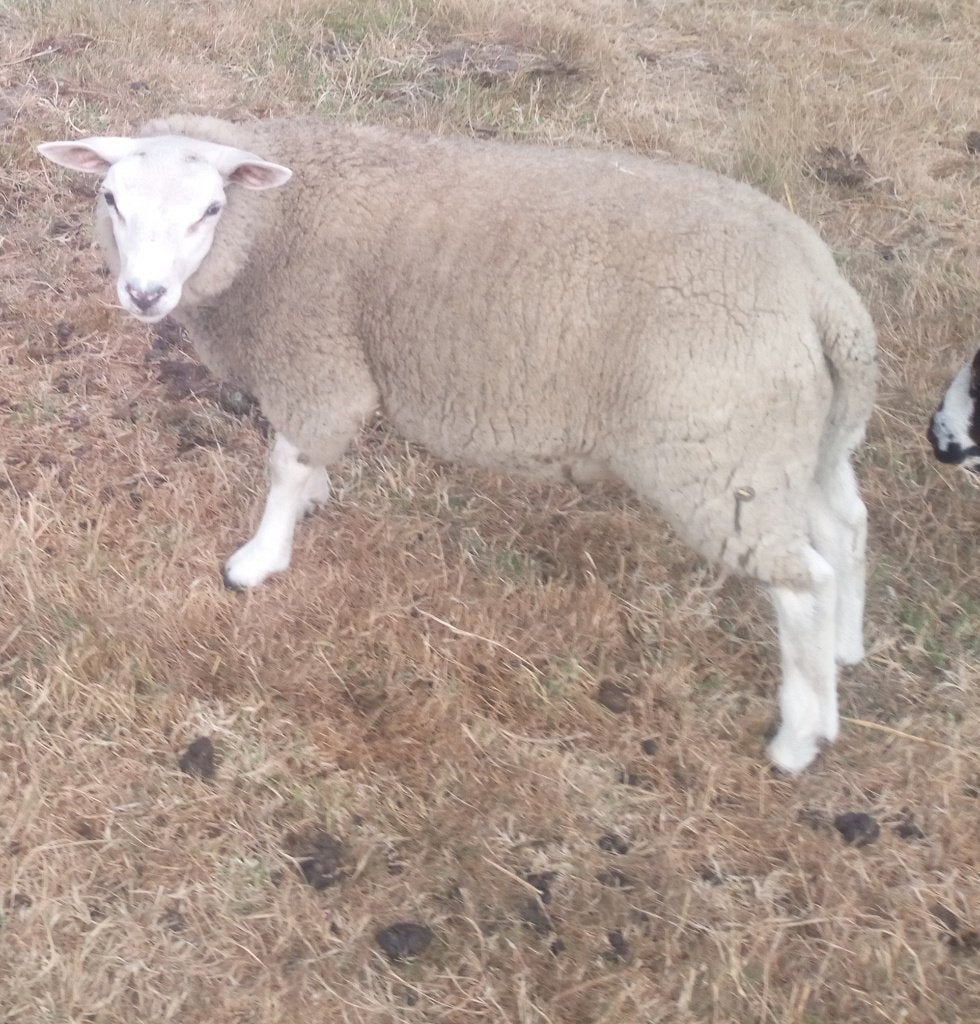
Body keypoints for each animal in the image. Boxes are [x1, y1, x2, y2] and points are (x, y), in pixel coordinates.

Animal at [38, 114, 878, 773]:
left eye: (212, 208)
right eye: (110, 199)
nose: (144, 294)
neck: (271, 227)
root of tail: (820, 291)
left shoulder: (317, 360)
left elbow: (284, 463)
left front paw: (259, 560)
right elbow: (304, 457)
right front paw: (316, 498)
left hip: (719, 453)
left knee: (802, 582)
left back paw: (801, 737)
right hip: (802, 436)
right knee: (846, 529)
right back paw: (847, 648)